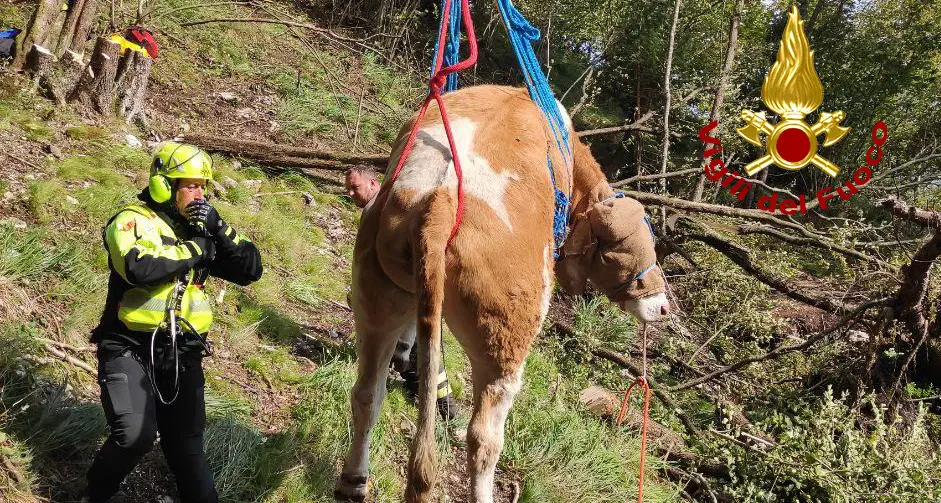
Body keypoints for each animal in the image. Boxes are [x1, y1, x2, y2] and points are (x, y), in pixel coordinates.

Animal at [334, 84, 669, 503]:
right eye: (635, 246)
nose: (663, 306)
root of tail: (441, 200)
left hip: (375, 294)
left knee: (367, 393)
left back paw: (353, 480)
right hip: (506, 339)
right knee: (483, 439)